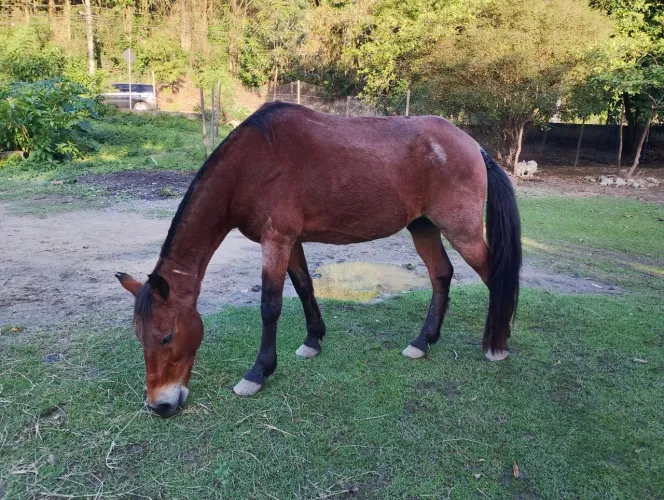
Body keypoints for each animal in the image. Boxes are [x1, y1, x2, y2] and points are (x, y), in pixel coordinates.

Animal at [116, 101, 521, 418]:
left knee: (494, 277)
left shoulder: (276, 239)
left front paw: (258, 373)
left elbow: (271, 305)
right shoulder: (290, 241)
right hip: (423, 226)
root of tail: (476, 148)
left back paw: (497, 346)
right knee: (441, 274)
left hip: (462, 232)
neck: (251, 163)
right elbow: (304, 287)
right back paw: (423, 342)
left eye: (167, 336)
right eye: (139, 336)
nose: (161, 406)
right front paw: (313, 340)